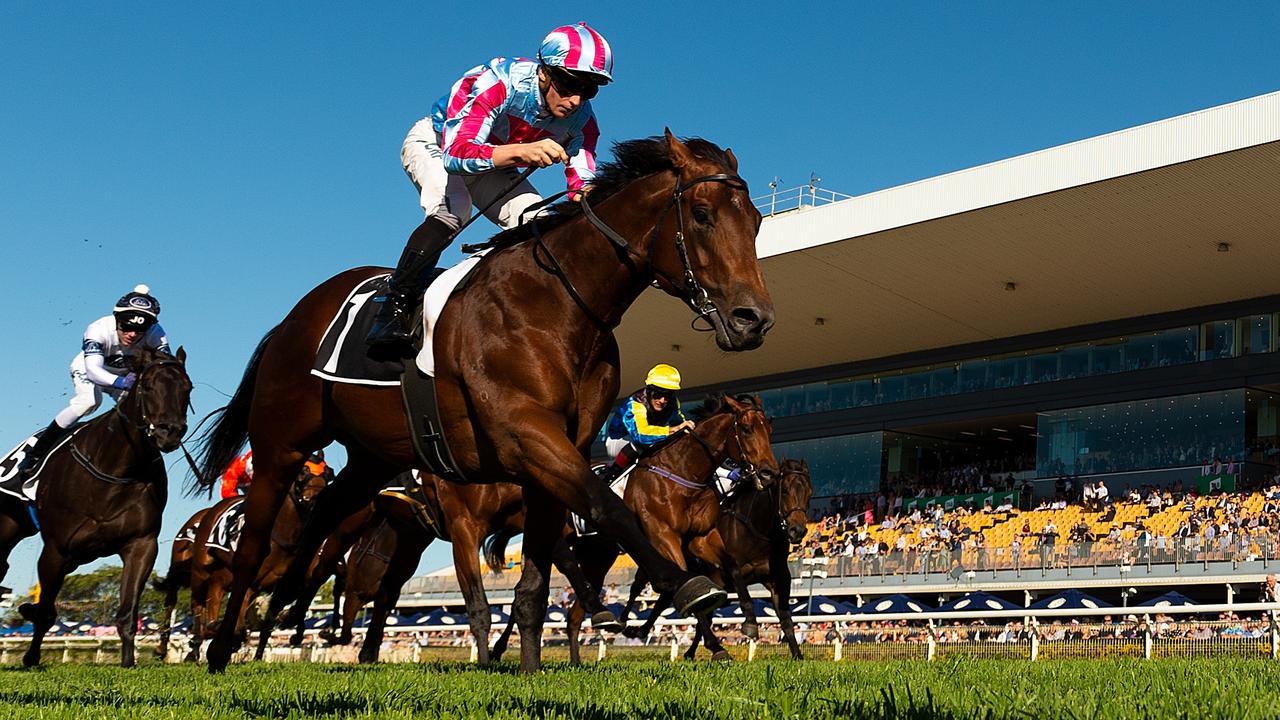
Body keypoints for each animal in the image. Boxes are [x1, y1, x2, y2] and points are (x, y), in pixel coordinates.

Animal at [2, 345, 190, 666]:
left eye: (187, 388)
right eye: (148, 386)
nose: (170, 432)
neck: (115, 469)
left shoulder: (141, 543)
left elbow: (127, 612)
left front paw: (128, 662)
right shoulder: (56, 549)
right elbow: (45, 613)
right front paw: (30, 658)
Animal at [188, 131, 768, 671]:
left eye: (758, 220)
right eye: (702, 214)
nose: (754, 320)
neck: (560, 301)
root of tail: (293, 318)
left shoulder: (557, 452)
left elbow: (535, 579)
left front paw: (531, 668)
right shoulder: (526, 434)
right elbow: (606, 505)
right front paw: (685, 586)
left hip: (370, 458)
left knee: (328, 512)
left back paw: (288, 601)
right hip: (281, 443)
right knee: (255, 544)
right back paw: (223, 644)